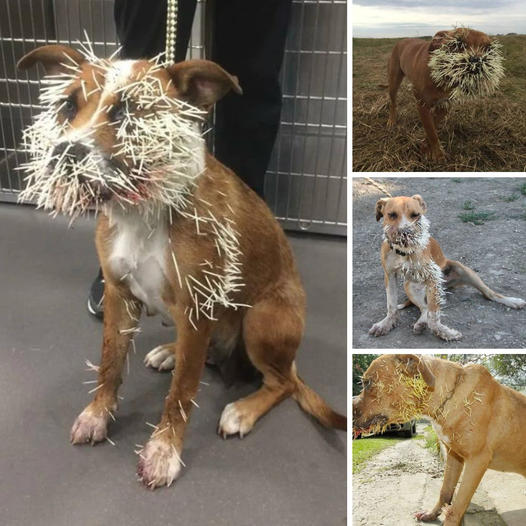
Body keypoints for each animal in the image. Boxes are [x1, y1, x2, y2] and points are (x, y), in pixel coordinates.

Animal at [16, 44, 346, 490]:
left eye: (130, 113)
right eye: (67, 105)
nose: (65, 154)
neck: (142, 210)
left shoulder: (195, 308)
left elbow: (181, 393)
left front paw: (163, 451)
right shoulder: (119, 297)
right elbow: (109, 365)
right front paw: (98, 415)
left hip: (261, 319)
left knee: (283, 383)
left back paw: (242, 409)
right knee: (206, 355)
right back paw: (171, 352)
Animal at [352, 354, 526, 526]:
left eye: (367, 383)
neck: (450, 395)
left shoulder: (477, 461)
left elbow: (456, 509)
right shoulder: (454, 455)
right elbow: (445, 491)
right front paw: (432, 514)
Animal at [372, 194, 526, 342]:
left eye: (416, 215)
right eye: (392, 215)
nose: (406, 234)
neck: (403, 253)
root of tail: (445, 284)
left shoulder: (431, 276)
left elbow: (434, 316)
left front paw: (445, 333)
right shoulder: (389, 275)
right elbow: (391, 304)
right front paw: (386, 323)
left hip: (464, 271)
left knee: (489, 293)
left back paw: (513, 301)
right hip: (410, 286)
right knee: (424, 308)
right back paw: (421, 323)